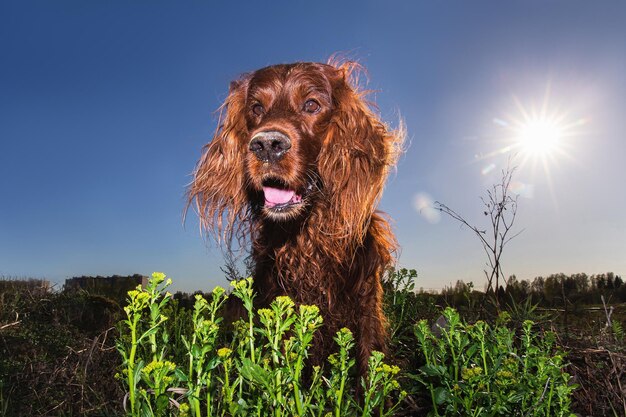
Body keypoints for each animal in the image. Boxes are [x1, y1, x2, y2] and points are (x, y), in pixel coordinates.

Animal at [186, 57, 400, 374]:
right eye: (256, 108)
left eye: (311, 105)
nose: (266, 145)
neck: (307, 235)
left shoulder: (365, 303)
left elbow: (367, 362)